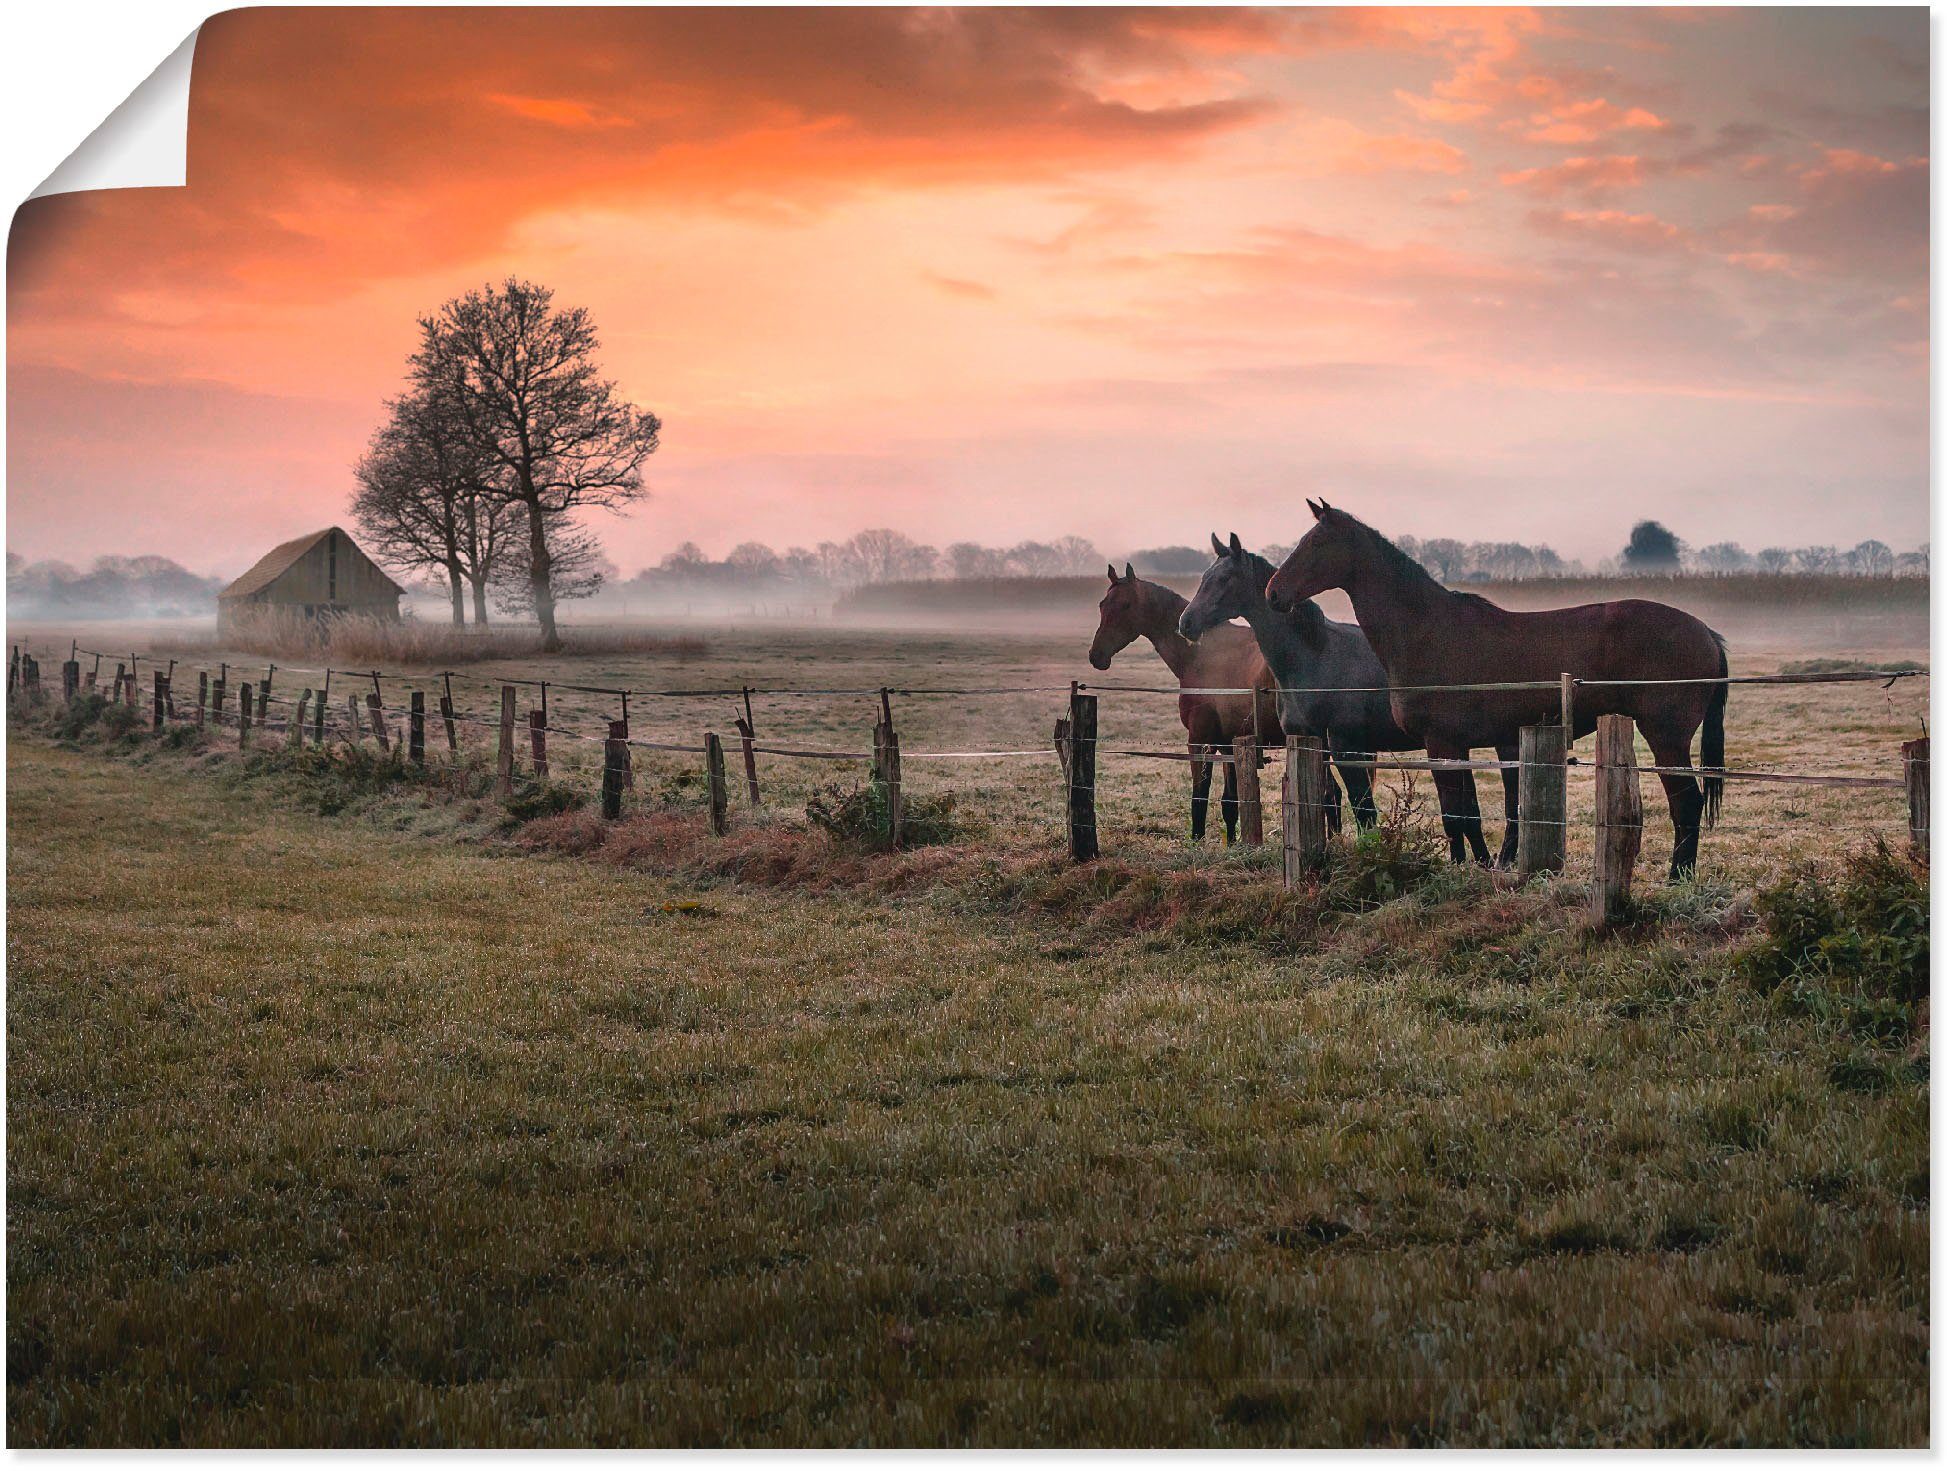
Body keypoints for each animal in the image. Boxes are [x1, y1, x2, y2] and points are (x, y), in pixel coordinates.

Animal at [1090, 560, 1285, 840]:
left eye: (1126, 605)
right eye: (1102, 604)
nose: (1097, 655)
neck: (1202, 653)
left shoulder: (1199, 741)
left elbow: (1199, 799)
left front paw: (1197, 841)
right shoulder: (1228, 745)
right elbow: (1229, 803)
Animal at [1269, 505, 1728, 871]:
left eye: (1315, 543)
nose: (1273, 593)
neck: (1427, 630)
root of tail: (1705, 631)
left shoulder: (1441, 743)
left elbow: (1455, 815)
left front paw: (1459, 869)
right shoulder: (1463, 746)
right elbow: (1469, 813)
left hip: (1666, 736)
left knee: (1686, 804)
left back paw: (1678, 877)